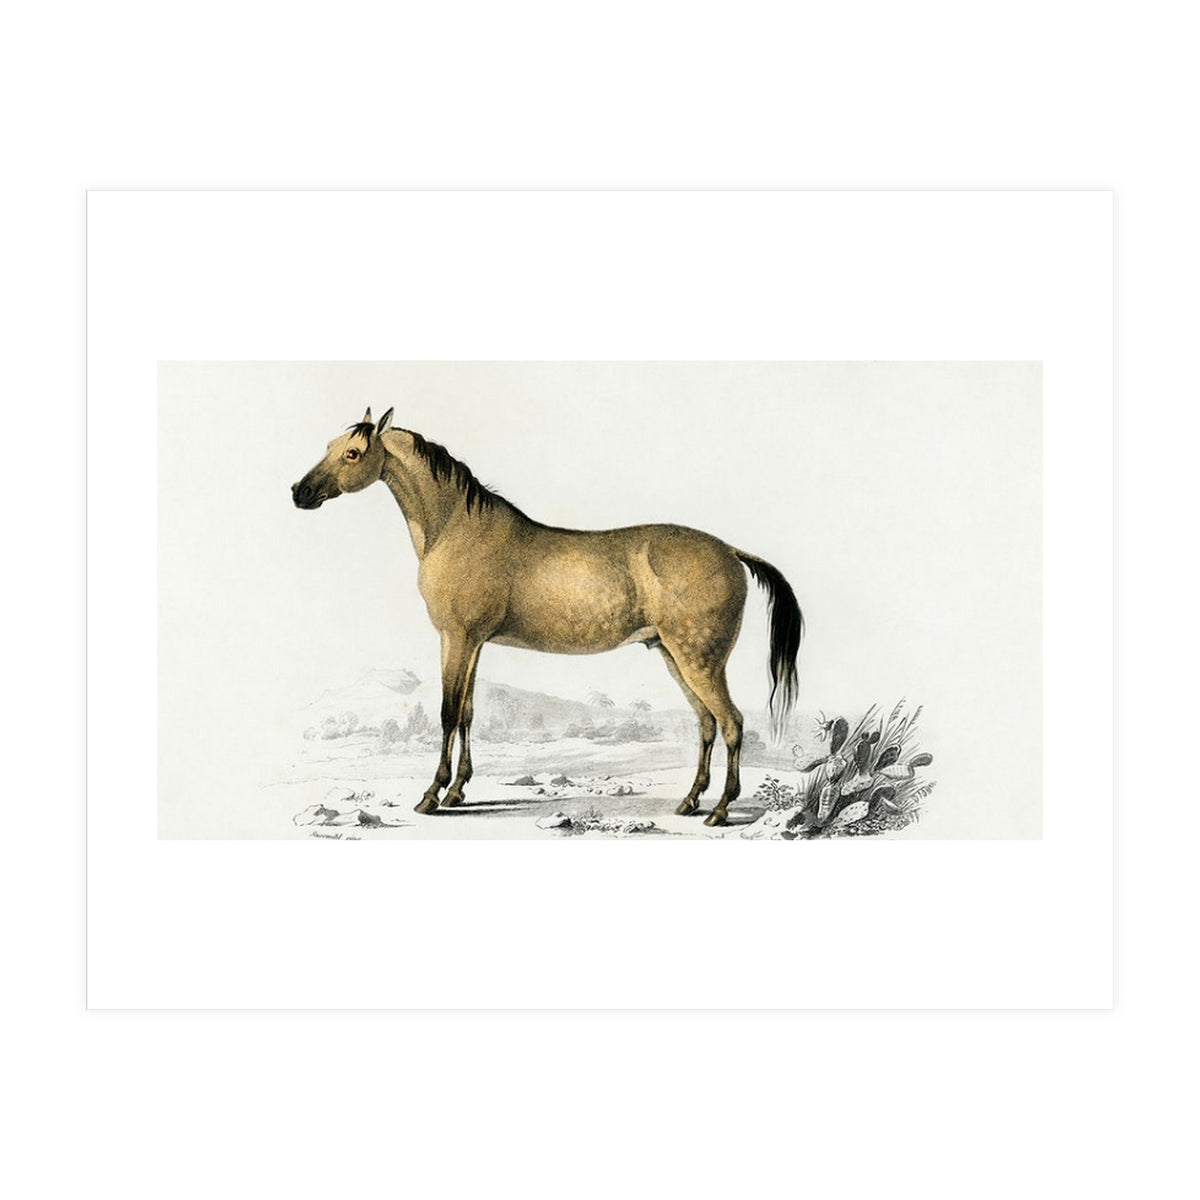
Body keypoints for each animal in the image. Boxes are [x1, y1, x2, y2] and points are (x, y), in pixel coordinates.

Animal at [292, 407, 803, 826]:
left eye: (354, 452)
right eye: (329, 446)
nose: (300, 492)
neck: (457, 528)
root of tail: (730, 551)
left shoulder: (456, 638)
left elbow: (447, 713)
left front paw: (432, 795)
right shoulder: (472, 643)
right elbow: (468, 714)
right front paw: (458, 791)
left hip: (699, 660)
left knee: (732, 722)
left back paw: (720, 810)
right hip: (674, 656)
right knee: (707, 723)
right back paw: (690, 801)